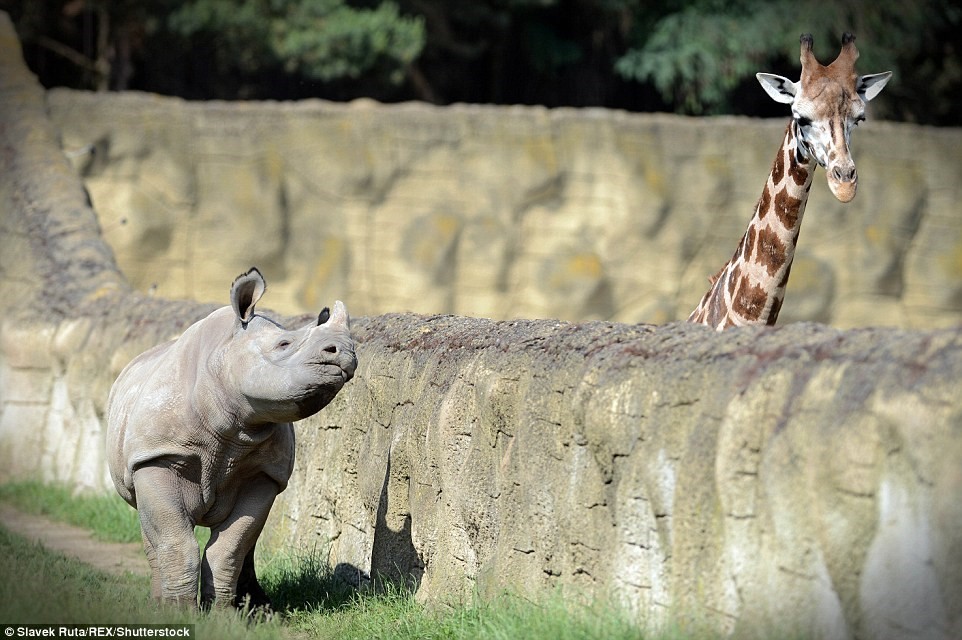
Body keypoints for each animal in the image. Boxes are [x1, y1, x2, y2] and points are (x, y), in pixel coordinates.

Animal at [105, 268, 358, 608]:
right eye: (284, 344)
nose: (345, 352)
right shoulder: (158, 456)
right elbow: (176, 542)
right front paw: (179, 612)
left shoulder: (264, 473)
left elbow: (230, 548)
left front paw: (222, 614)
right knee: (154, 532)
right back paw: (159, 604)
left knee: (247, 541)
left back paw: (257, 608)